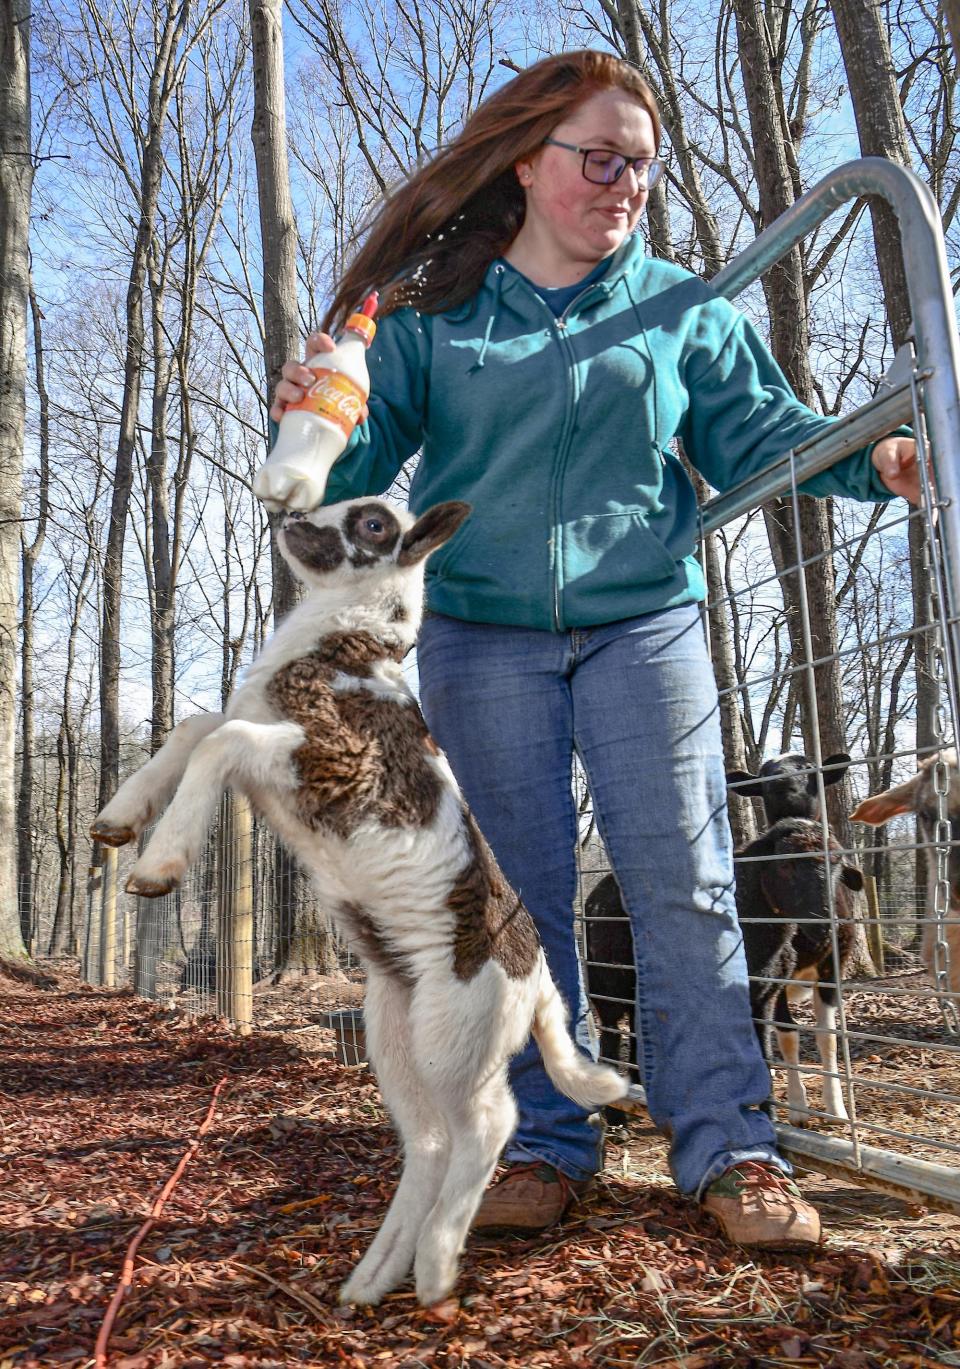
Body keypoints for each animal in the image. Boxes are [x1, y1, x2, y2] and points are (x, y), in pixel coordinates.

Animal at [89, 501, 621, 1303]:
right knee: (430, 1142)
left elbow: (220, 738)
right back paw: (373, 1278)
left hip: (454, 1038)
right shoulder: (263, 736)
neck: (343, 640)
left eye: (373, 525)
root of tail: (538, 984)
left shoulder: (322, 754)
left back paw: (437, 1266)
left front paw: (157, 866)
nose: (290, 516)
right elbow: (196, 726)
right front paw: (118, 820)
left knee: (490, 1124)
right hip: (395, 1034)